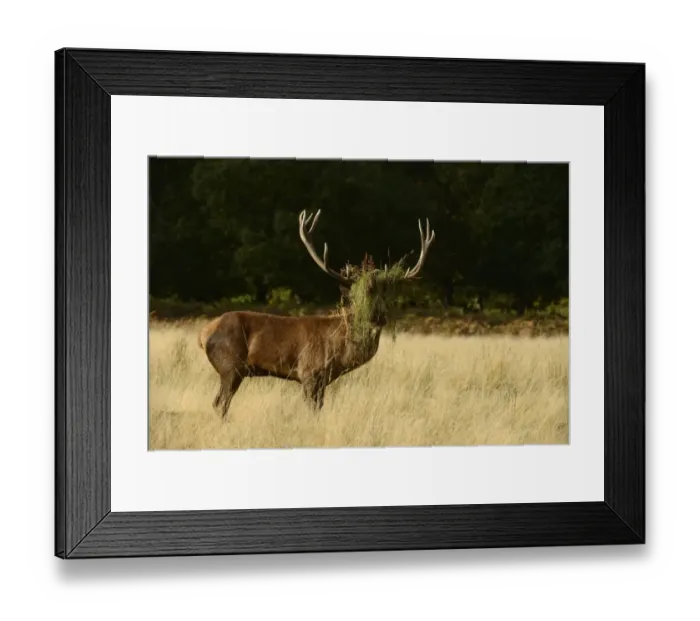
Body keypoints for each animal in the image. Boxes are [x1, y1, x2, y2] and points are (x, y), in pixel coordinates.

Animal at [198, 209, 435, 420]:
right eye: (359, 295)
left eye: (385, 295)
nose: (378, 316)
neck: (340, 349)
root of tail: (203, 334)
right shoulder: (309, 373)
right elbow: (312, 412)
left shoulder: (322, 381)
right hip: (230, 367)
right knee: (220, 403)